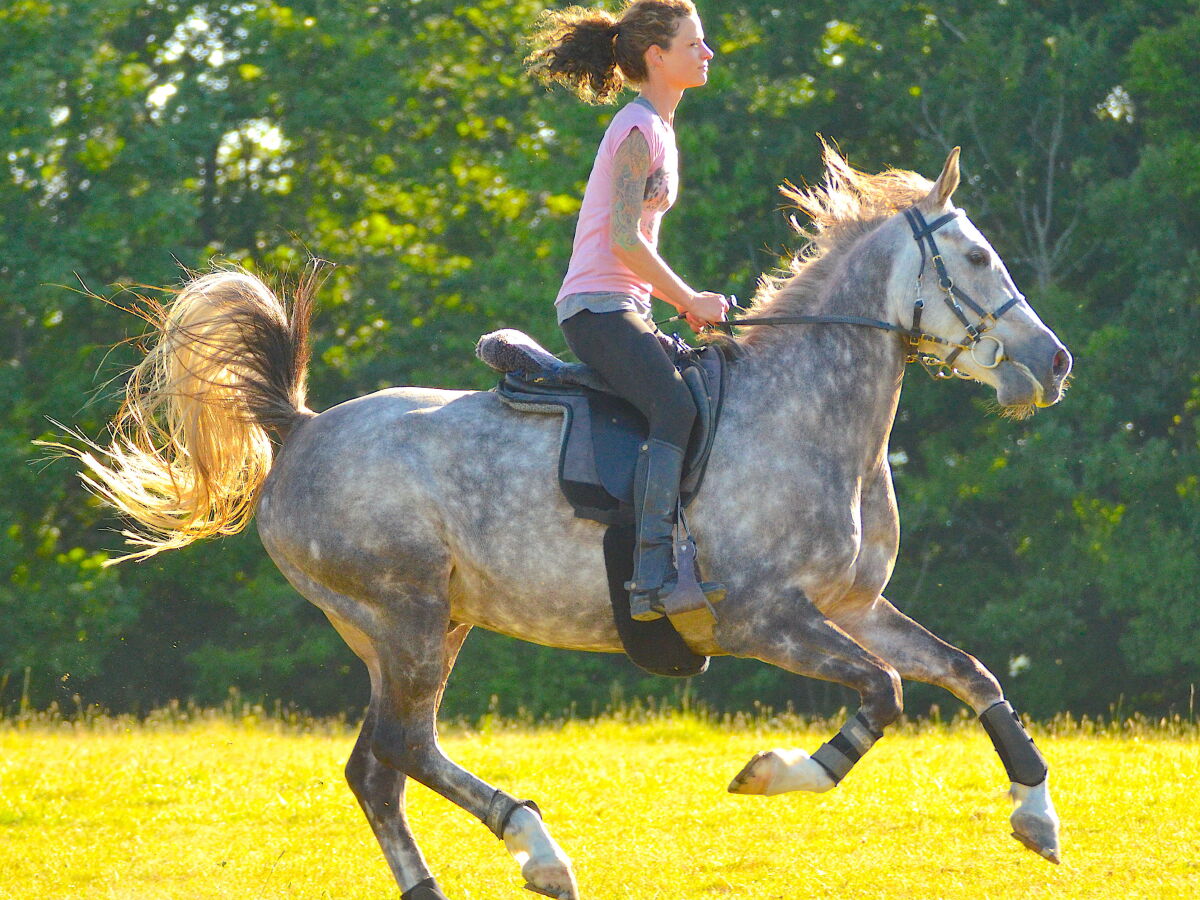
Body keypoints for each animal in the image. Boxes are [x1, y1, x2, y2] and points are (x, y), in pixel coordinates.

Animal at [58, 150, 1070, 900]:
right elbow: (884, 695)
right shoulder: (765, 619)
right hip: (406, 617)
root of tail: (299, 429)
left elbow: (968, 673)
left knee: (377, 767)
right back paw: (539, 850)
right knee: (403, 749)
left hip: (419, 629)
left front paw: (1036, 812)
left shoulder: (855, 609)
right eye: (978, 258)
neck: (809, 415)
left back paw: (441, 882)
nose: (1054, 362)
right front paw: (773, 773)